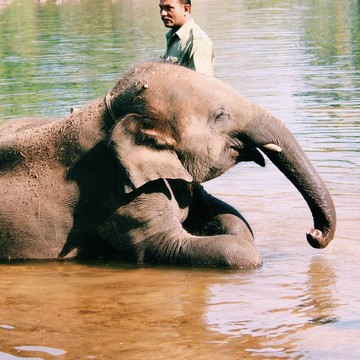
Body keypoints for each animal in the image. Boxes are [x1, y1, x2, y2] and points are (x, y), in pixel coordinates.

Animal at [0, 61, 336, 268]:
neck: (110, 112)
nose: (312, 235)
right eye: (221, 116)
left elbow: (225, 215)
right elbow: (162, 245)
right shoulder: (113, 191)